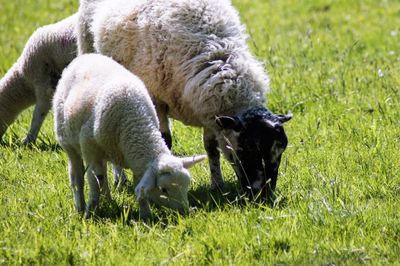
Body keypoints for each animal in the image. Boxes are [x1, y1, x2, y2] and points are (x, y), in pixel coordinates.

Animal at [52, 53, 203, 218]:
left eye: (186, 184)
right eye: (164, 189)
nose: (186, 212)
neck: (134, 120)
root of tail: (86, 56)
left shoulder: (137, 162)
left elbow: (137, 186)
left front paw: (145, 215)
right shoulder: (90, 150)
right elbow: (94, 183)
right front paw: (90, 212)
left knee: (103, 175)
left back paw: (108, 199)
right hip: (69, 143)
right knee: (77, 176)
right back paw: (80, 206)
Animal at [78, 0, 292, 200]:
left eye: (280, 152)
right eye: (246, 149)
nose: (263, 195)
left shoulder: (208, 110)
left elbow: (211, 148)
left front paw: (217, 185)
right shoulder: (157, 101)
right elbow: (166, 140)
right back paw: (120, 179)